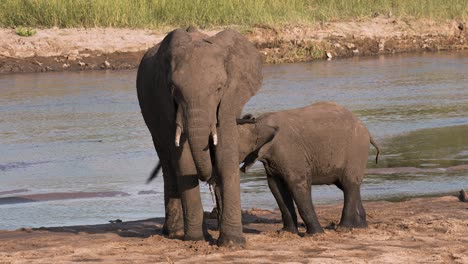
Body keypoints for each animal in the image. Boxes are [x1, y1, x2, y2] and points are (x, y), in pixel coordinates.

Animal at [137, 26, 266, 245]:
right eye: (174, 89)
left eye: (219, 88)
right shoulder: (167, 106)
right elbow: (184, 161)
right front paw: (196, 239)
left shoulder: (228, 103)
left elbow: (226, 155)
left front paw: (232, 243)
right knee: (168, 164)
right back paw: (175, 233)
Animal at [236, 102, 378, 234]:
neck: (257, 124)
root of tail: (367, 131)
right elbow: (276, 188)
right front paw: (286, 233)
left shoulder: (290, 152)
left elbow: (298, 184)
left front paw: (316, 234)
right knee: (347, 185)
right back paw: (360, 227)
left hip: (356, 150)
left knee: (348, 184)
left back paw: (343, 228)